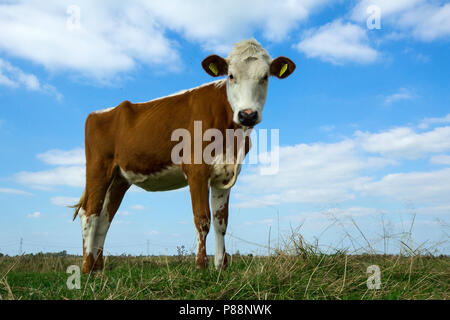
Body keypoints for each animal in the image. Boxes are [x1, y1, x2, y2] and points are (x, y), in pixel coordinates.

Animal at [73, 38, 296, 272]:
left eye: (265, 77)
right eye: (231, 75)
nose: (247, 114)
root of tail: (101, 112)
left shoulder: (224, 174)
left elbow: (221, 222)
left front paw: (221, 266)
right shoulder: (196, 170)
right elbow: (203, 219)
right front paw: (201, 266)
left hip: (119, 178)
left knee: (104, 220)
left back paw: (98, 269)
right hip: (98, 168)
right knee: (90, 214)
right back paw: (87, 269)